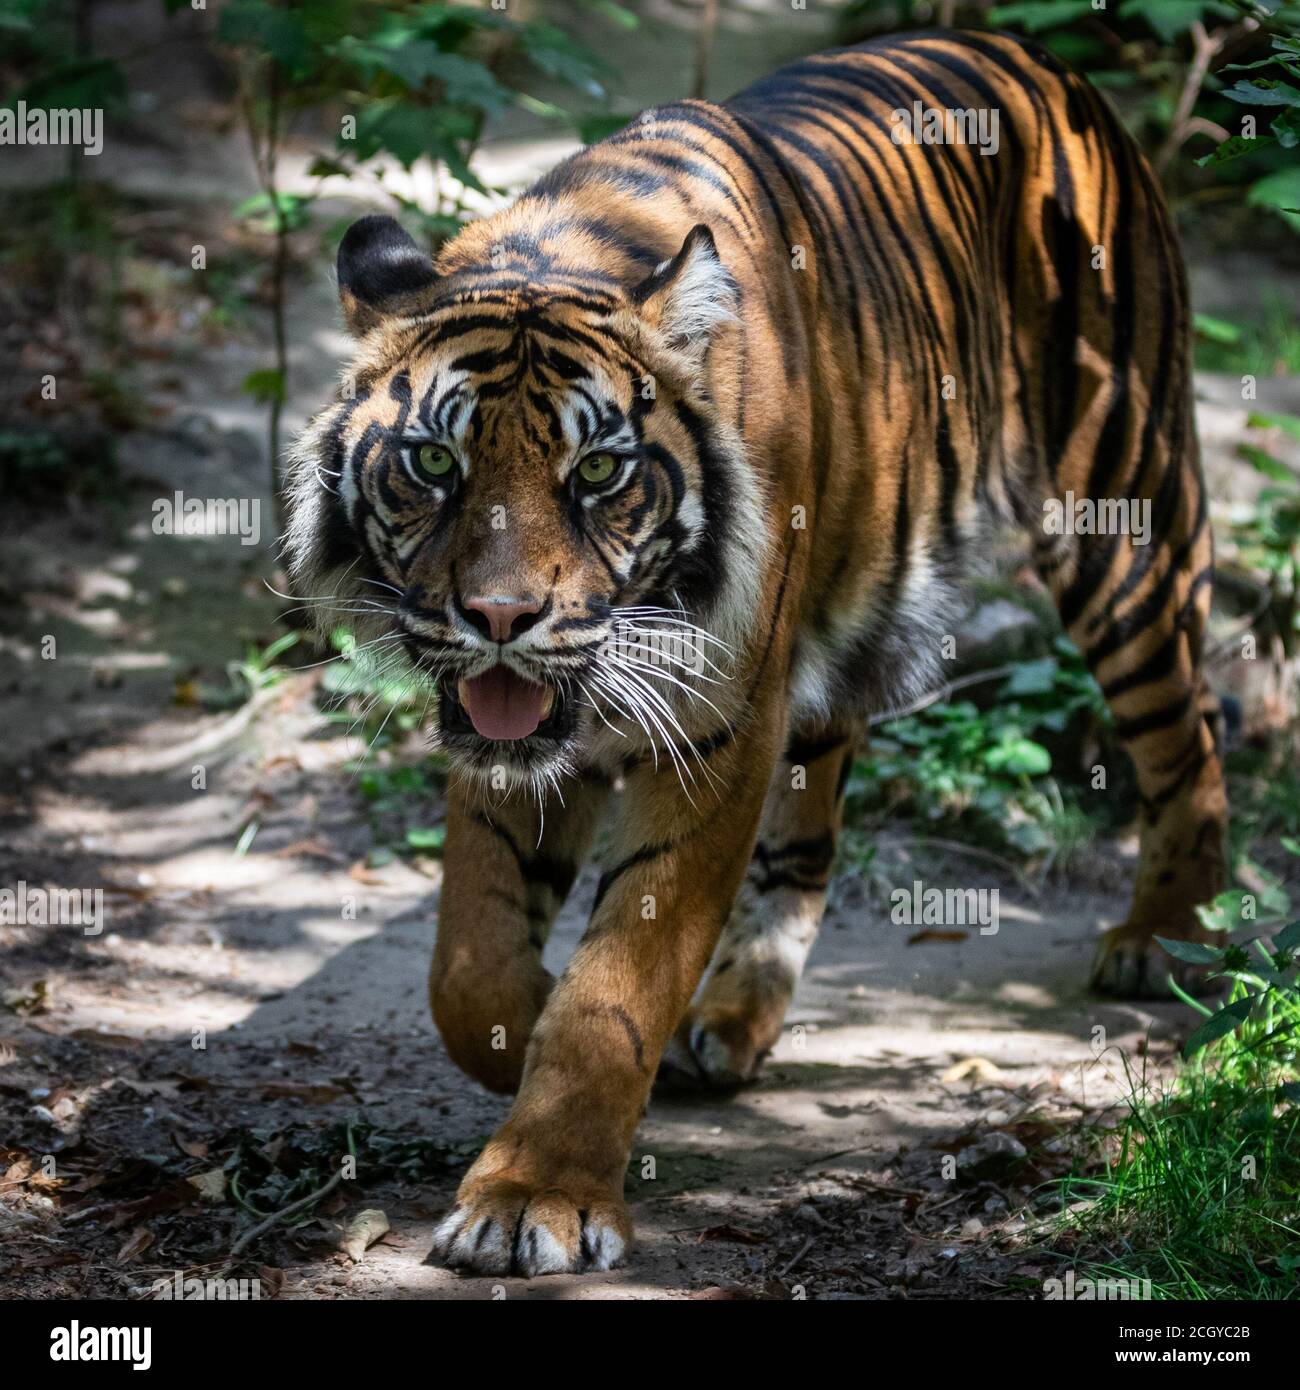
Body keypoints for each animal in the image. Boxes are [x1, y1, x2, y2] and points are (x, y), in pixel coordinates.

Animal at [285, 29, 1228, 1277]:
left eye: (597, 472)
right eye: (435, 464)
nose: (500, 617)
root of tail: (1040, 61)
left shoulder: (715, 725)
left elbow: (613, 991)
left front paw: (536, 1195)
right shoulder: (526, 736)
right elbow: (468, 964)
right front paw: (529, 1022)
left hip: (1123, 521)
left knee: (1188, 732)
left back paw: (1164, 938)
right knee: (810, 827)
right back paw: (735, 1014)